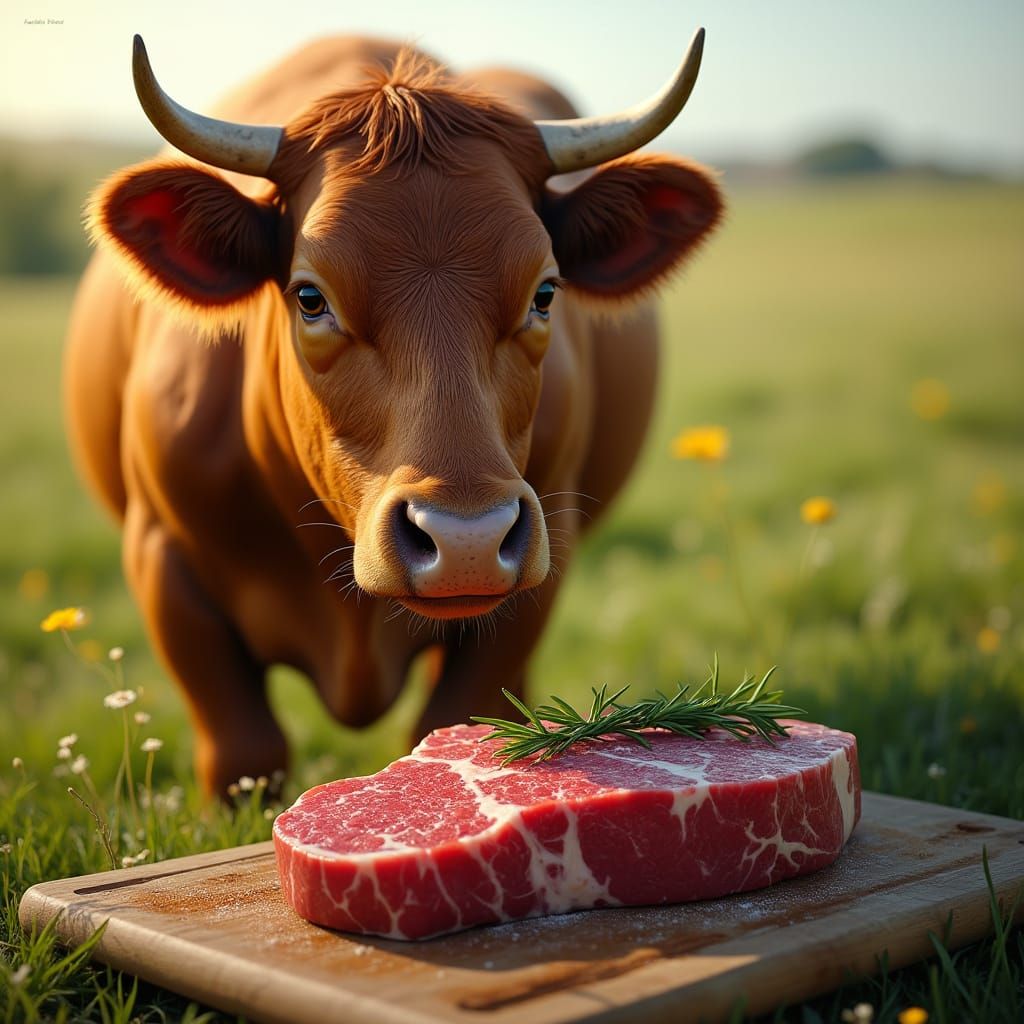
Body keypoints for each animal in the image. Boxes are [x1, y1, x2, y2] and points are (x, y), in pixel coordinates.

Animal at [66, 30, 723, 795]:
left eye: (545, 293)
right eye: (310, 297)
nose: (467, 540)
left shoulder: (542, 563)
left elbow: (460, 723)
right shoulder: (163, 561)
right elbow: (244, 754)